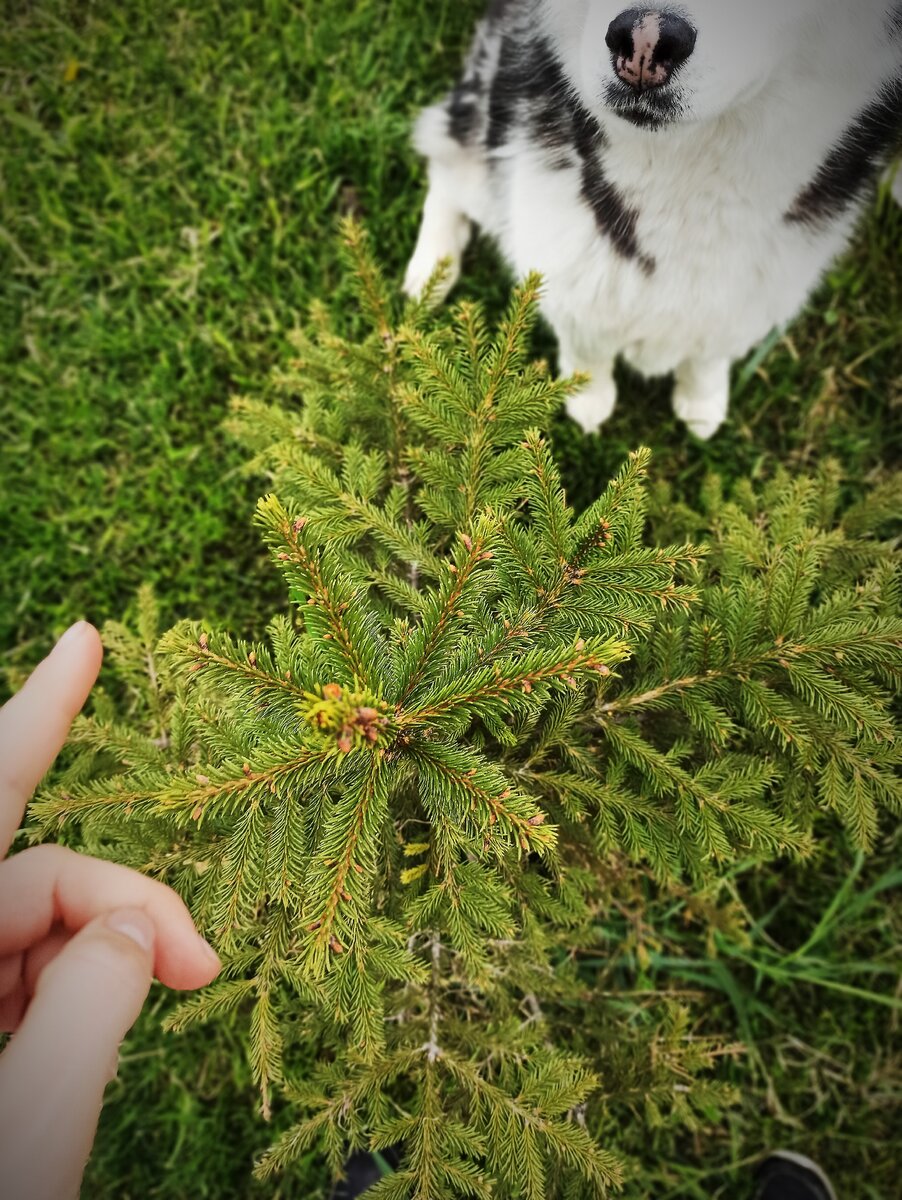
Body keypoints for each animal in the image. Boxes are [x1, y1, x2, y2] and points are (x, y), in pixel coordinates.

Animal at [407, 0, 902, 441]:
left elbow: (714, 344)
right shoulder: (560, 255)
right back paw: (432, 269)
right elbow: (585, 336)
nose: (645, 37)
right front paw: (587, 395)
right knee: (447, 162)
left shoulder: (760, 284)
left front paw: (702, 400)